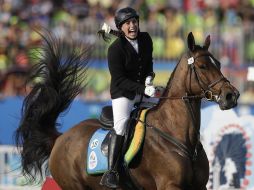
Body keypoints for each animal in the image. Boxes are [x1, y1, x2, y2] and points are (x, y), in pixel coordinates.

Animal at [14, 31, 239, 189]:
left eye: (218, 63)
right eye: (202, 66)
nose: (231, 95)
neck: (179, 135)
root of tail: (60, 138)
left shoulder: (199, 186)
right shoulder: (170, 185)